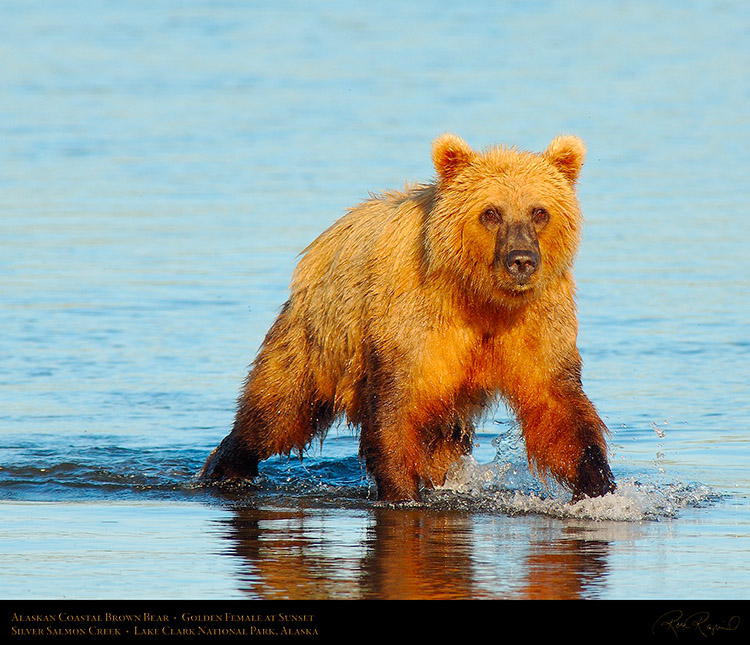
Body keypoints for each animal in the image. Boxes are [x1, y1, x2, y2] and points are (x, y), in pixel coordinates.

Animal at [200, 133, 616, 500]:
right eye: (491, 213)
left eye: (539, 212)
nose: (522, 260)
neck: (481, 299)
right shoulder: (415, 324)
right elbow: (396, 410)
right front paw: (402, 493)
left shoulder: (536, 322)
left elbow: (559, 409)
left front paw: (601, 486)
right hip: (318, 336)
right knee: (278, 409)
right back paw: (225, 468)